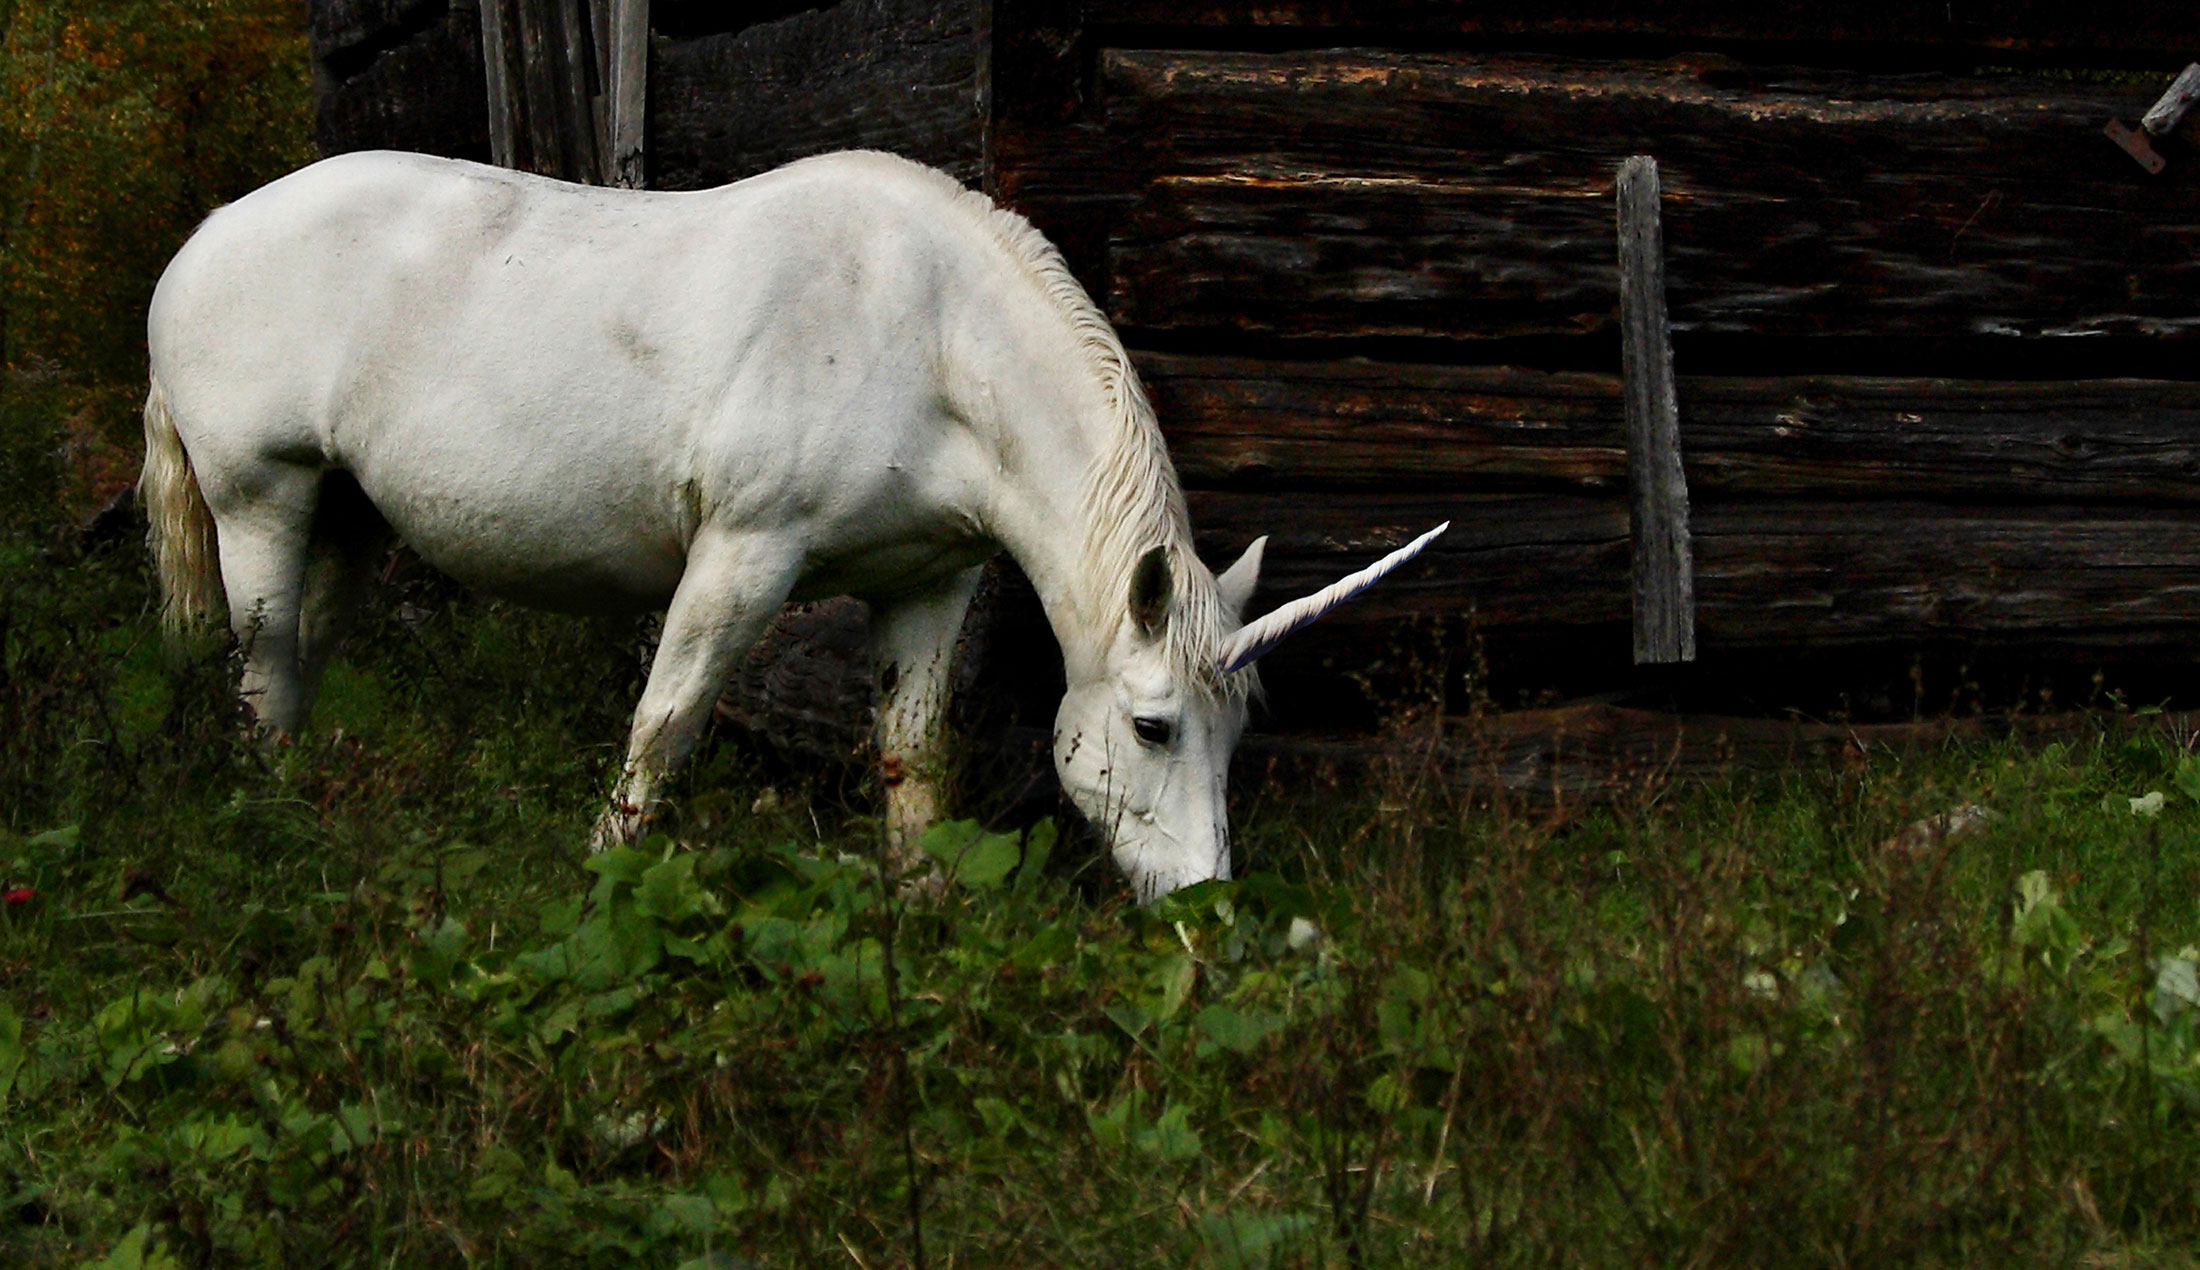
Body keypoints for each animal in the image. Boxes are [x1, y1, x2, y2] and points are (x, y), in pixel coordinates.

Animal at [141, 148, 1443, 898]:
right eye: (1154, 726)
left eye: (1240, 730)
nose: (1209, 904)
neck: (928, 330)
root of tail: (201, 238)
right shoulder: (743, 555)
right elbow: (665, 727)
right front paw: (602, 884)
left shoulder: (928, 582)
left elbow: (913, 758)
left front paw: (922, 919)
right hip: (261, 499)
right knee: (262, 670)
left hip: (346, 515)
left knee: (301, 665)